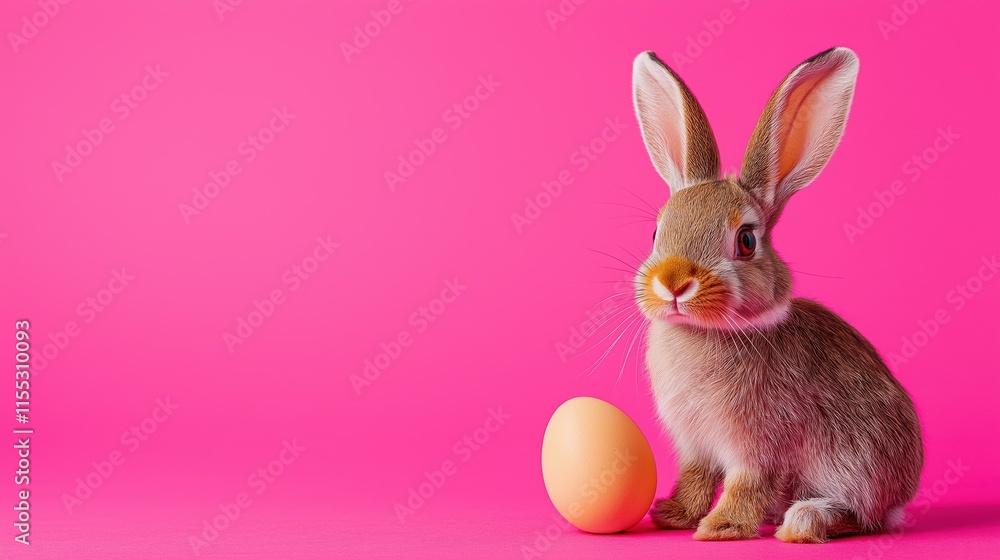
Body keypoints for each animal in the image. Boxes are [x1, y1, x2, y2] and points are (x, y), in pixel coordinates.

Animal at [630, 47, 923, 543]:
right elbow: (695, 477)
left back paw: (803, 521)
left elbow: (746, 482)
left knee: (861, 517)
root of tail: (901, 497)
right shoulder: (696, 446)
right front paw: (673, 514)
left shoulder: (758, 444)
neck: (705, 331)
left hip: (855, 466)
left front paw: (721, 527)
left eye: (747, 240)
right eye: (655, 232)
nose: (673, 283)